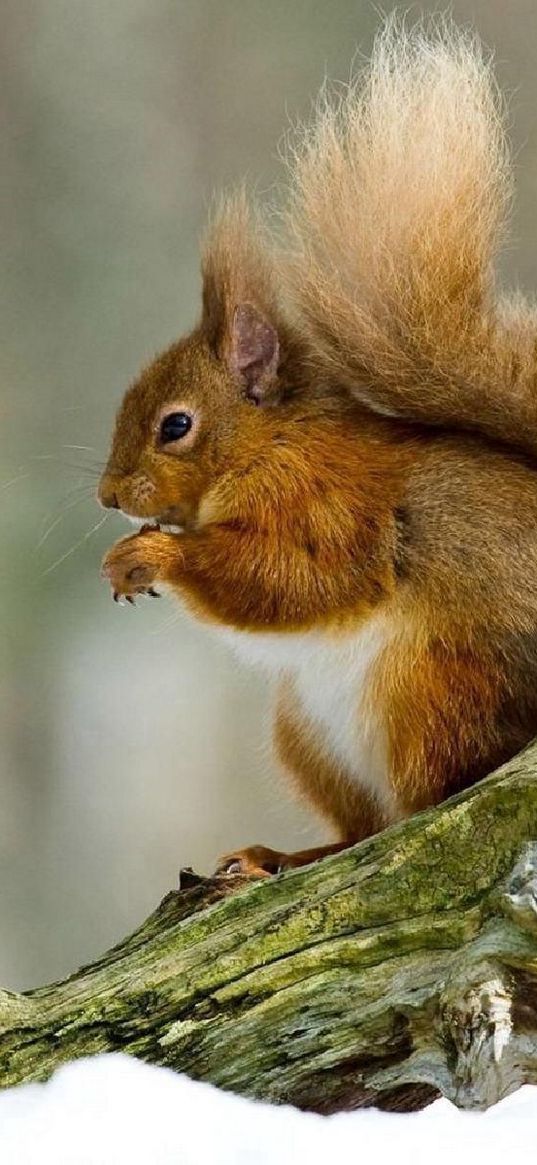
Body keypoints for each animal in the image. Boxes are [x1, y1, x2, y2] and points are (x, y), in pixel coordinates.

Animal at [99, 20, 537, 876]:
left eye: (175, 425)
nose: (109, 496)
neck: (270, 442)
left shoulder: (330, 501)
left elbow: (295, 576)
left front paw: (153, 556)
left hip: (428, 688)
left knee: (430, 796)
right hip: (306, 732)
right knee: (364, 825)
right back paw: (277, 857)